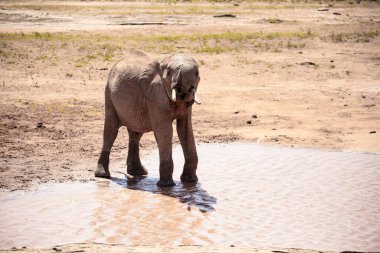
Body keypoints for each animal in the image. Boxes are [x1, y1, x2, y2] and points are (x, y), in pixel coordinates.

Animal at [94, 50, 202, 187]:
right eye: (169, 72)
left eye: (197, 73)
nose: (182, 92)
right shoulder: (155, 95)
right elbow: (165, 130)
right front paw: (166, 186)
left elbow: (185, 129)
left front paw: (190, 181)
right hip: (108, 91)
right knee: (111, 130)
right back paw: (103, 175)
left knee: (136, 133)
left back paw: (138, 173)